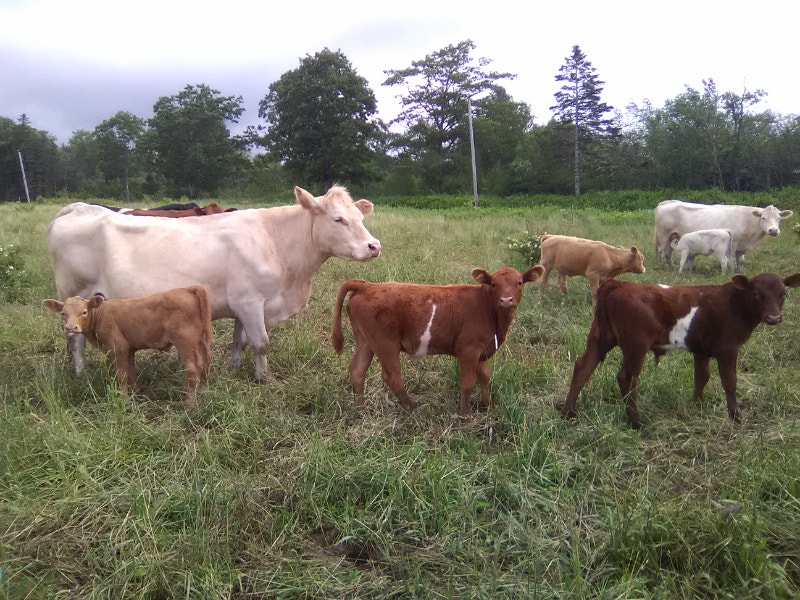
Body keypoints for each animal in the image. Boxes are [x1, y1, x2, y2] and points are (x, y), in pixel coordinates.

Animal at [43, 285, 213, 406]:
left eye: (84, 312)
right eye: (63, 313)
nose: (71, 328)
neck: (101, 315)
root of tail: (188, 289)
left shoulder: (117, 348)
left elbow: (122, 375)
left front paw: (124, 400)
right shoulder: (129, 349)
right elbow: (131, 373)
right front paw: (136, 395)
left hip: (185, 341)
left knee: (192, 369)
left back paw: (189, 403)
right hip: (201, 341)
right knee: (204, 364)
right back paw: (205, 392)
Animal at [47, 186, 381, 382]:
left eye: (360, 217)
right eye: (338, 219)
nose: (374, 246)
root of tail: (79, 208)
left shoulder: (244, 305)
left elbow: (240, 341)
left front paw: (233, 371)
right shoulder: (250, 301)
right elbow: (261, 343)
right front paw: (264, 380)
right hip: (75, 296)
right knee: (75, 340)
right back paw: (81, 374)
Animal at [331, 265, 545, 417]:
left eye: (519, 282)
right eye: (493, 284)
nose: (506, 300)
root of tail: (368, 285)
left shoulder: (482, 350)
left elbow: (485, 376)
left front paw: (486, 405)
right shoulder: (468, 349)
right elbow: (467, 383)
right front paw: (464, 416)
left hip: (365, 340)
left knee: (358, 369)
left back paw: (361, 409)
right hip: (385, 343)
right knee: (391, 376)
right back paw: (412, 408)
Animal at [560, 273, 800, 429]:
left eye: (783, 294)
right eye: (755, 293)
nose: (774, 317)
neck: (733, 303)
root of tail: (619, 283)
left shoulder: (701, 350)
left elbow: (701, 376)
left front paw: (697, 406)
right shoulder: (728, 349)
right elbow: (729, 382)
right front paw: (736, 417)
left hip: (600, 336)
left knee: (583, 366)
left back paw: (568, 413)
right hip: (636, 344)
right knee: (626, 377)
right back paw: (636, 423)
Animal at [654, 200, 793, 272]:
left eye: (779, 218)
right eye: (763, 218)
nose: (773, 230)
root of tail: (668, 202)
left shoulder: (741, 247)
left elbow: (740, 260)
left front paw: (740, 271)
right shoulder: (733, 244)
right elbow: (731, 259)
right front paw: (731, 273)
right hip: (664, 236)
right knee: (665, 253)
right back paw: (670, 268)